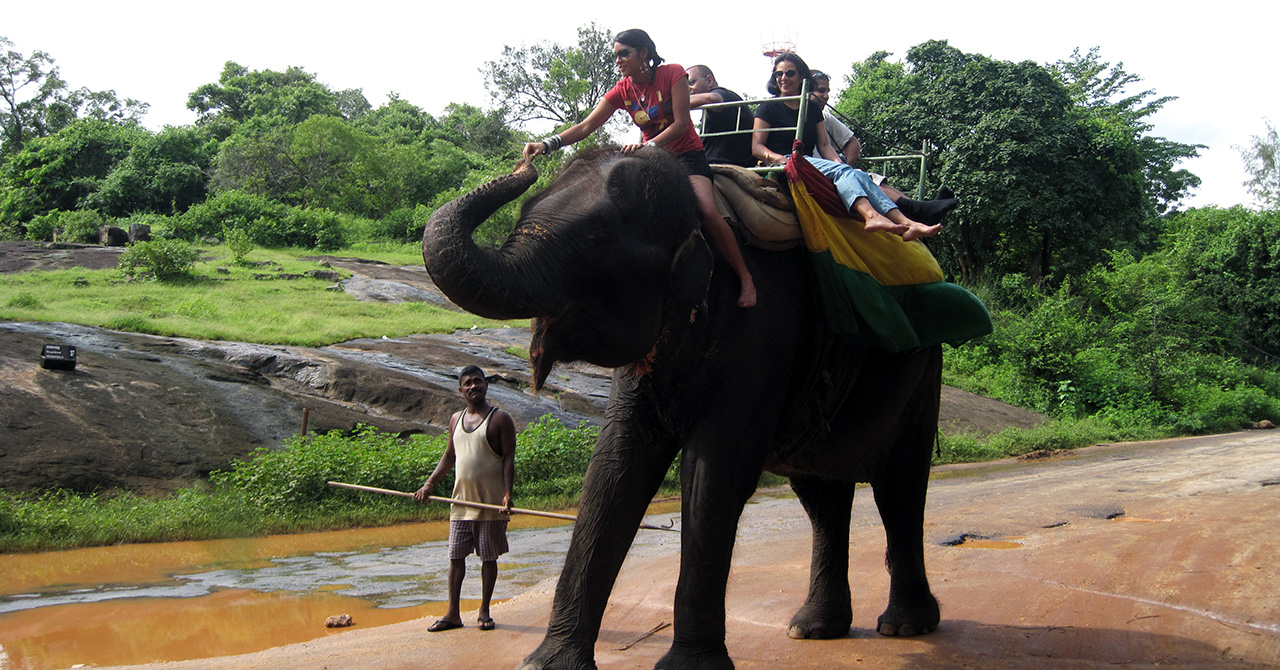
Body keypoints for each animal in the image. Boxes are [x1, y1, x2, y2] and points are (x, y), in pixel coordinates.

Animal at [419, 147, 942, 670]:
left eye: (597, 238)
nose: (527, 160)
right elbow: (613, 469)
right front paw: (547, 664)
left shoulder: (762, 332)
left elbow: (711, 475)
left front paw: (689, 668)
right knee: (821, 494)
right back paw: (813, 629)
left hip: (923, 371)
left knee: (900, 485)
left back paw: (904, 625)